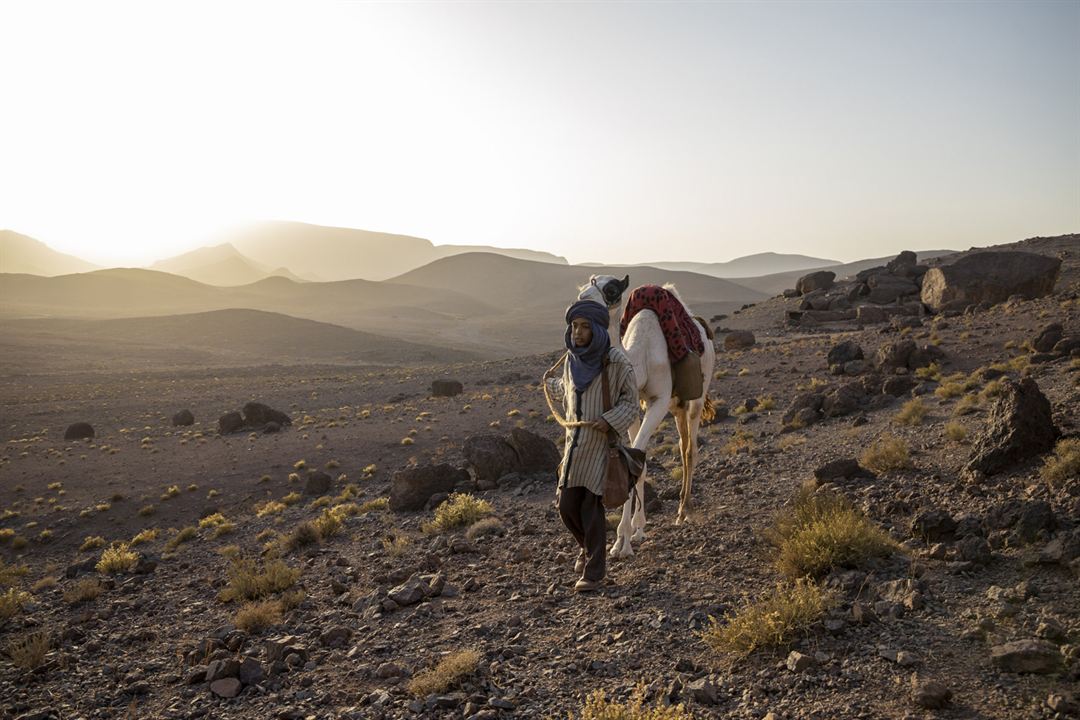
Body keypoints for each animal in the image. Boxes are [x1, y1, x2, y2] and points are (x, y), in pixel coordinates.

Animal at [574, 273, 717, 561]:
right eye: (588, 283)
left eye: (611, 289)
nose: (583, 299)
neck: (640, 359)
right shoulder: (631, 402)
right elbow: (638, 462)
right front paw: (634, 532)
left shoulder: (658, 401)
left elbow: (636, 461)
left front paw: (623, 542)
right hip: (677, 406)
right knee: (683, 444)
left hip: (697, 394)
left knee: (690, 450)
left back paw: (684, 511)